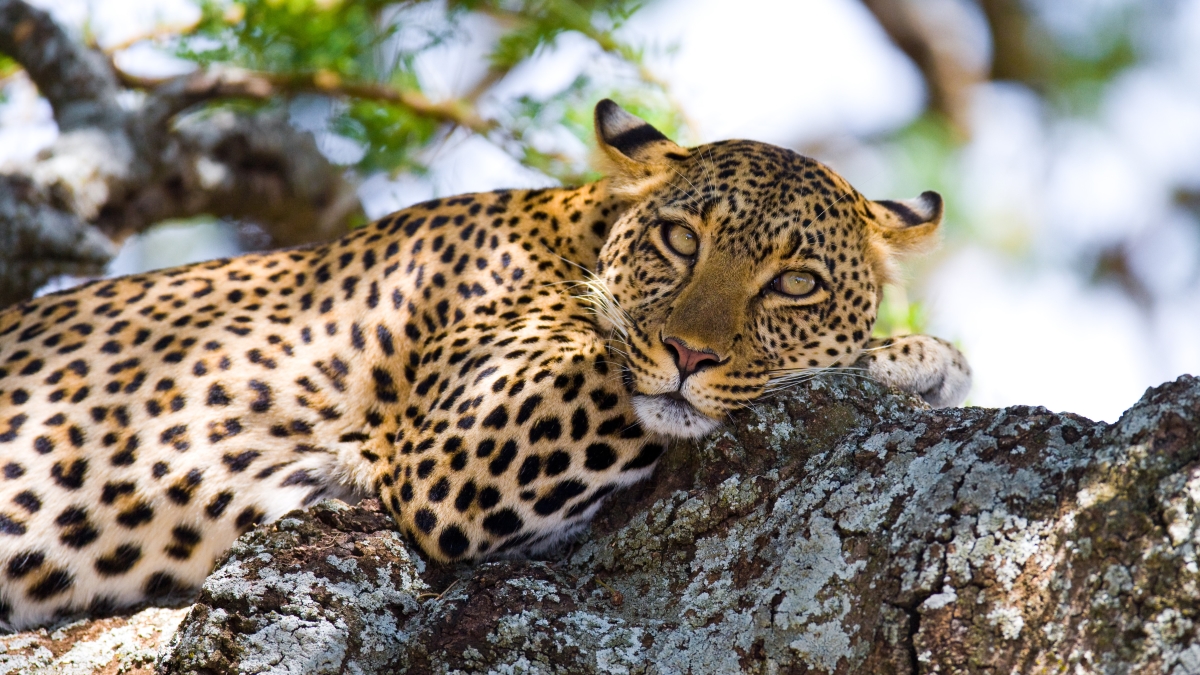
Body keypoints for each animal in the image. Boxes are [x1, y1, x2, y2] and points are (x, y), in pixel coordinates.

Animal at [0, 100, 969, 629]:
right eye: (680, 239)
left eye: (795, 282)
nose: (691, 352)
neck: (579, 232)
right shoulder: (460, 449)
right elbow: (631, 377)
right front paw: (912, 354)